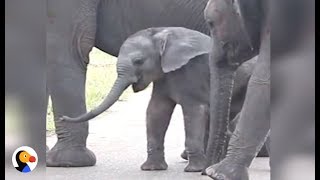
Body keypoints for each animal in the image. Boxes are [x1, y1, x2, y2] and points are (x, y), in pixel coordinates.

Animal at [59, 26, 262, 172]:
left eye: (138, 61)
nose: (62, 118)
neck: (163, 35)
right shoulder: (164, 77)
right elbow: (156, 111)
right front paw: (151, 169)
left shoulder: (192, 72)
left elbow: (194, 112)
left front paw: (194, 170)